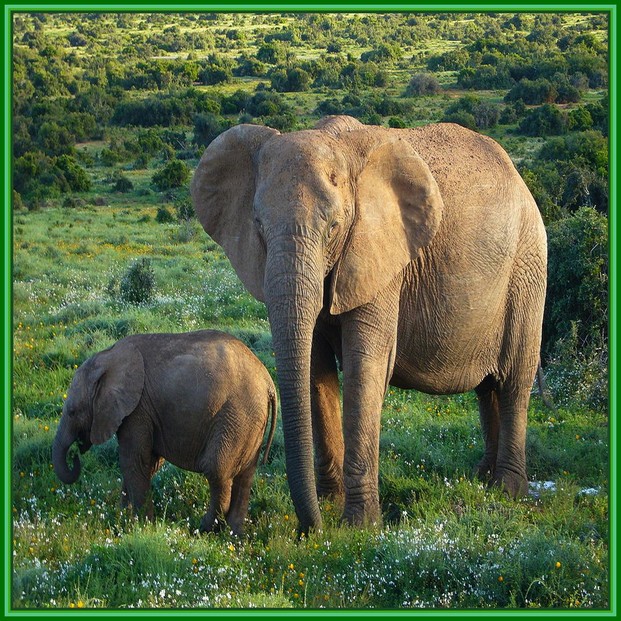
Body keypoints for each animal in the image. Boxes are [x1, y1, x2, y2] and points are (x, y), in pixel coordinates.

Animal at [53, 326, 276, 536]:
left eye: (72, 412)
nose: (75, 455)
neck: (107, 356)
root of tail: (268, 382)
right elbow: (148, 463)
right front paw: (123, 517)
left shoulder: (137, 409)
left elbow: (134, 461)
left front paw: (141, 526)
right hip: (251, 422)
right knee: (245, 475)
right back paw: (234, 535)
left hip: (237, 416)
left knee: (216, 470)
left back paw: (203, 529)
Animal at [191, 115, 544, 532]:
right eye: (258, 226)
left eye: (333, 227)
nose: (310, 529)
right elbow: (316, 369)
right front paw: (331, 503)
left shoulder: (381, 255)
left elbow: (366, 366)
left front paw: (358, 525)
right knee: (487, 389)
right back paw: (482, 480)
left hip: (528, 267)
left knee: (514, 381)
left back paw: (508, 490)